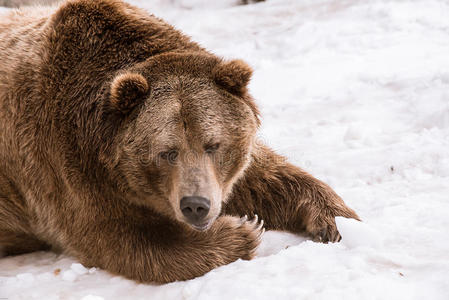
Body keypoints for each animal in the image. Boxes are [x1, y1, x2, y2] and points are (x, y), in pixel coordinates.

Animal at [0, 0, 358, 282]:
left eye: (213, 144)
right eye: (166, 152)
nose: (196, 205)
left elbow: (269, 178)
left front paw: (335, 222)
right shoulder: (69, 169)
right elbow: (127, 241)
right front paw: (243, 230)